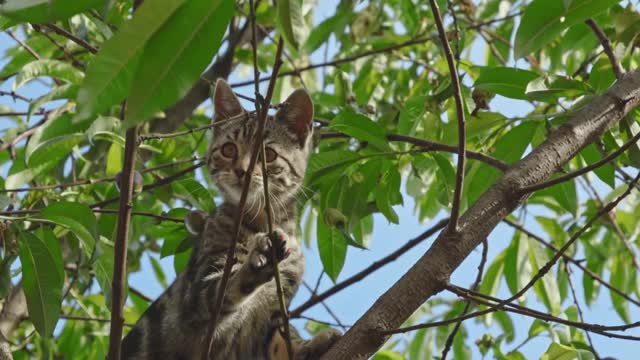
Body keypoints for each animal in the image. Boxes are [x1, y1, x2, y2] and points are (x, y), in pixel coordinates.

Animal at [120, 79, 340, 360]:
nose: (241, 170)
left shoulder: (273, 315)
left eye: (268, 154)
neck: (263, 220)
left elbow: (281, 339)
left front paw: (307, 347)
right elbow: (226, 288)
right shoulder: (198, 293)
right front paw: (259, 264)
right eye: (228, 149)